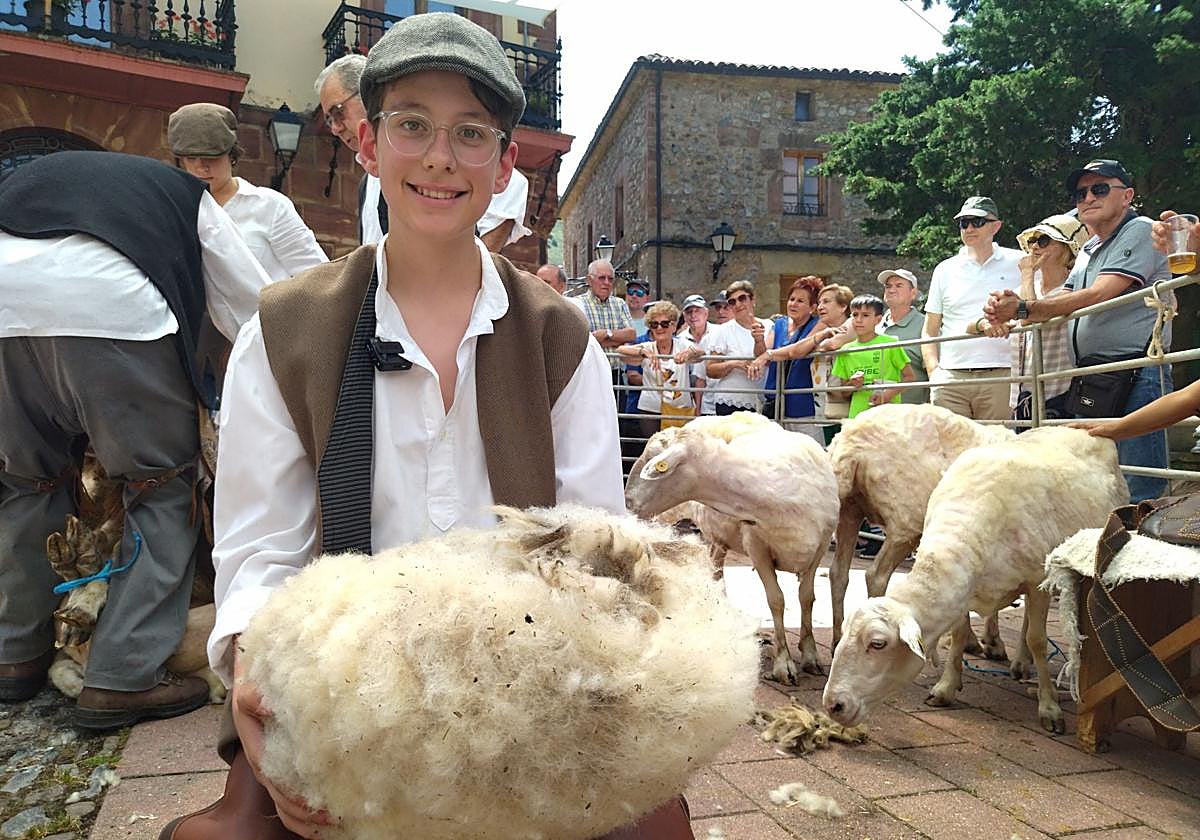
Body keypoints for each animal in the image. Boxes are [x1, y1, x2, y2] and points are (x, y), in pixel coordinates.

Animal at [624, 412, 839, 684]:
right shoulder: (756, 546)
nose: (627, 501)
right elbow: (776, 600)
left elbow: (807, 598)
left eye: (654, 460)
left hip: (720, 539)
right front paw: (784, 664)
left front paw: (811, 656)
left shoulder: (821, 546)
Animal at [827, 403, 1015, 659]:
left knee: (838, 572)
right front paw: (992, 642)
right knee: (875, 575)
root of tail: (851, 442)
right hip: (905, 521)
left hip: (850, 509)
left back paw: (837, 640)